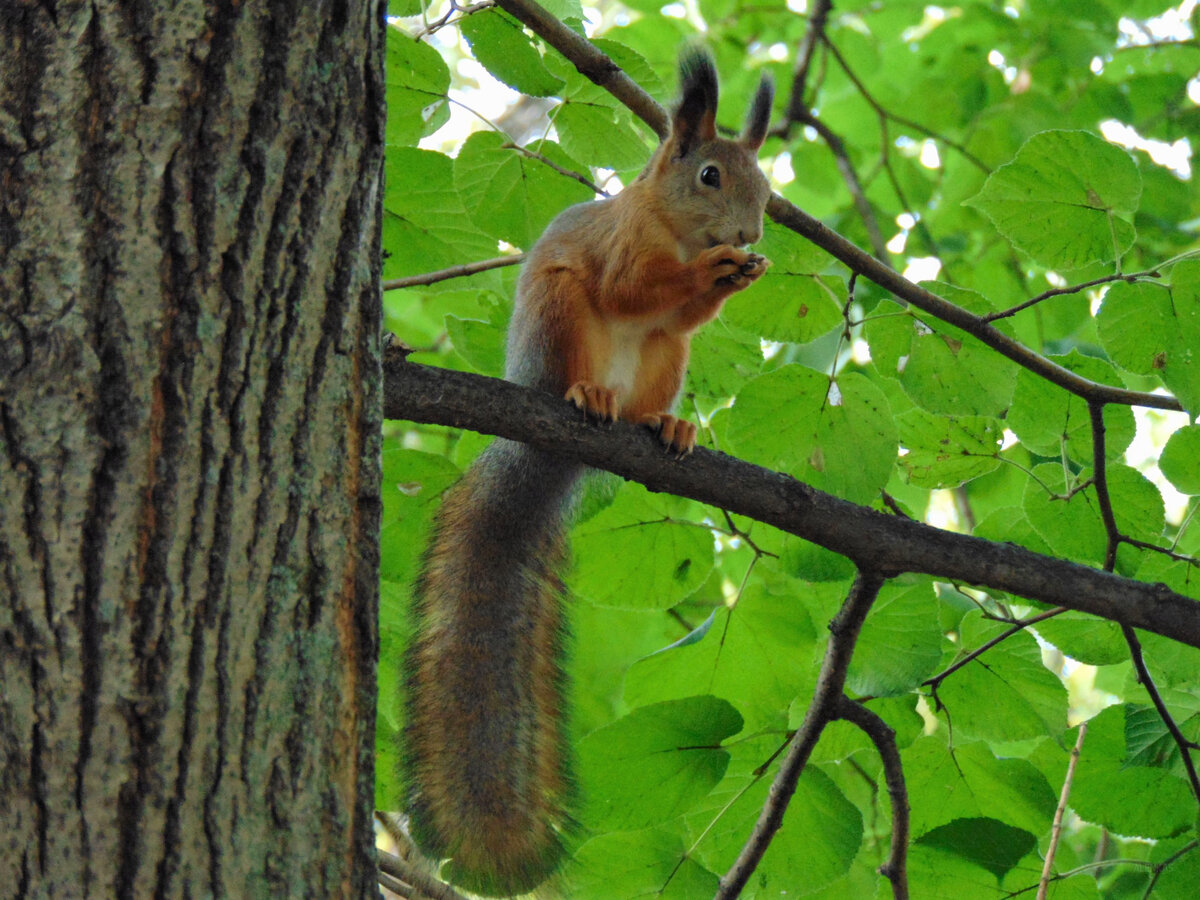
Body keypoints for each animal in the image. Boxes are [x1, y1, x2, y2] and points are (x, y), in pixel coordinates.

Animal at [402, 48, 774, 897]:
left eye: (767, 187)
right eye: (710, 175)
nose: (749, 233)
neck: (669, 227)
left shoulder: (677, 322)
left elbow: (680, 314)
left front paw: (739, 274)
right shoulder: (619, 249)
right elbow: (635, 289)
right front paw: (717, 268)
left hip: (666, 362)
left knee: (662, 362)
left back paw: (662, 424)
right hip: (562, 313)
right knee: (586, 342)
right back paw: (587, 395)